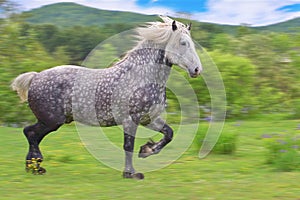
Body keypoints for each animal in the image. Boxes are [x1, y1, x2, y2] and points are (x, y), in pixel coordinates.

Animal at [11, 16, 202, 180]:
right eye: (183, 43)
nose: (197, 70)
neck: (141, 77)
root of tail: (35, 77)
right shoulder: (130, 120)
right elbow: (128, 146)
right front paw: (131, 173)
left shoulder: (148, 119)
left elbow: (169, 134)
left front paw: (146, 150)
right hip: (52, 121)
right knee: (30, 133)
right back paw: (35, 167)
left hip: (51, 121)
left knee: (31, 134)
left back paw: (34, 167)